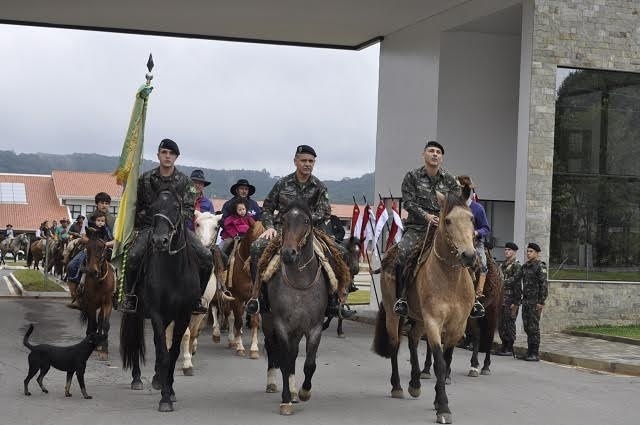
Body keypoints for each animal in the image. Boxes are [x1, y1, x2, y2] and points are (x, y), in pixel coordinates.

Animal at [78, 230, 115, 360]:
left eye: (101, 248)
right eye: (87, 249)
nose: (92, 271)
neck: (100, 282)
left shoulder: (108, 303)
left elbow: (105, 324)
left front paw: (104, 349)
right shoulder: (91, 303)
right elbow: (92, 323)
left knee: (99, 320)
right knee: (92, 322)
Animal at [120, 189, 202, 412]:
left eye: (176, 207)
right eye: (153, 208)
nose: (159, 241)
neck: (172, 271)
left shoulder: (182, 315)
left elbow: (172, 353)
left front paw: (170, 391)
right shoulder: (156, 313)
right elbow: (164, 354)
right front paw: (165, 399)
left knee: (158, 344)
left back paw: (158, 379)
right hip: (138, 312)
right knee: (137, 339)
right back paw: (137, 379)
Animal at [261, 201, 347, 416]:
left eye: (306, 221)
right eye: (283, 220)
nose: (288, 253)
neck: (299, 281)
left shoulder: (314, 328)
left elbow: (309, 364)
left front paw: (303, 392)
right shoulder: (281, 326)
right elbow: (284, 362)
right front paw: (285, 401)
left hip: (298, 330)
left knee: (293, 354)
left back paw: (293, 392)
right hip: (268, 321)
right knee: (273, 348)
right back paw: (274, 384)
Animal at [373, 191, 476, 424]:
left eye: (471, 218)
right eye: (448, 221)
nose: (469, 256)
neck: (450, 278)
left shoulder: (457, 326)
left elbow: (447, 361)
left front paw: (438, 401)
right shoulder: (433, 322)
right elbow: (439, 363)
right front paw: (443, 408)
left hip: (419, 319)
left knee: (412, 339)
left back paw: (415, 383)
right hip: (395, 315)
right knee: (395, 345)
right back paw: (398, 386)